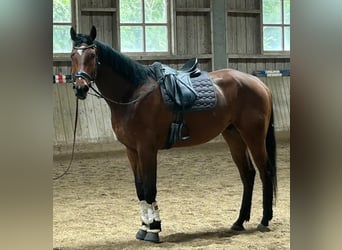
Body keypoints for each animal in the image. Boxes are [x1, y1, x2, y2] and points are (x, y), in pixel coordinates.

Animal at [70, 25, 278, 242]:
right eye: (72, 56)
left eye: (92, 55)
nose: (80, 88)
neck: (134, 94)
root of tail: (260, 84)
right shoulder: (131, 151)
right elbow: (140, 189)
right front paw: (143, 228)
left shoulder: (147, 150)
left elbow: (150, 188)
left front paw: (154, 230)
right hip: (234, 136)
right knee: (248, 174)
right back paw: (239, 221)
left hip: (254, 136)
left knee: (265, 171)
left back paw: (264, 220)